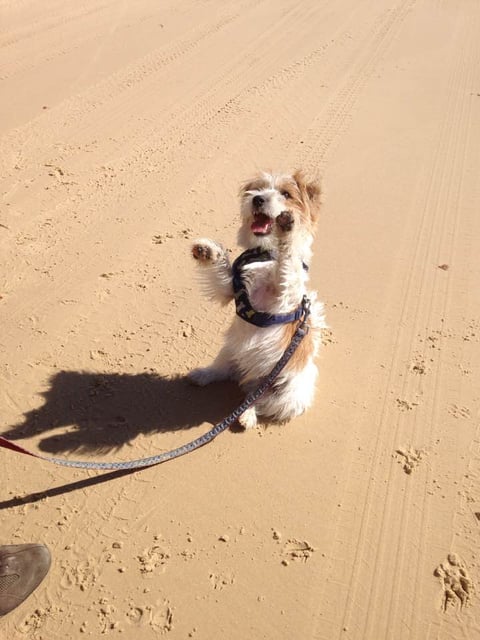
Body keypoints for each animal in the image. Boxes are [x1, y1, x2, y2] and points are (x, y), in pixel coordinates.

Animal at [188, 171, 326, 430]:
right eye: (258, 189)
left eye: (286, 194)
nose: (258, 199)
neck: (264, 253)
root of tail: (253, 378)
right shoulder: (230, 288)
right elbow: (222, 268)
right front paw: (208, 250)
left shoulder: (285, 296)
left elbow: (289, 263)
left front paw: (288, 230)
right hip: (228, 349)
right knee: (225, 370)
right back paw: (203, 375)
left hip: (290, 394)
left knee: (259, 401)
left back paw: (247, 416)